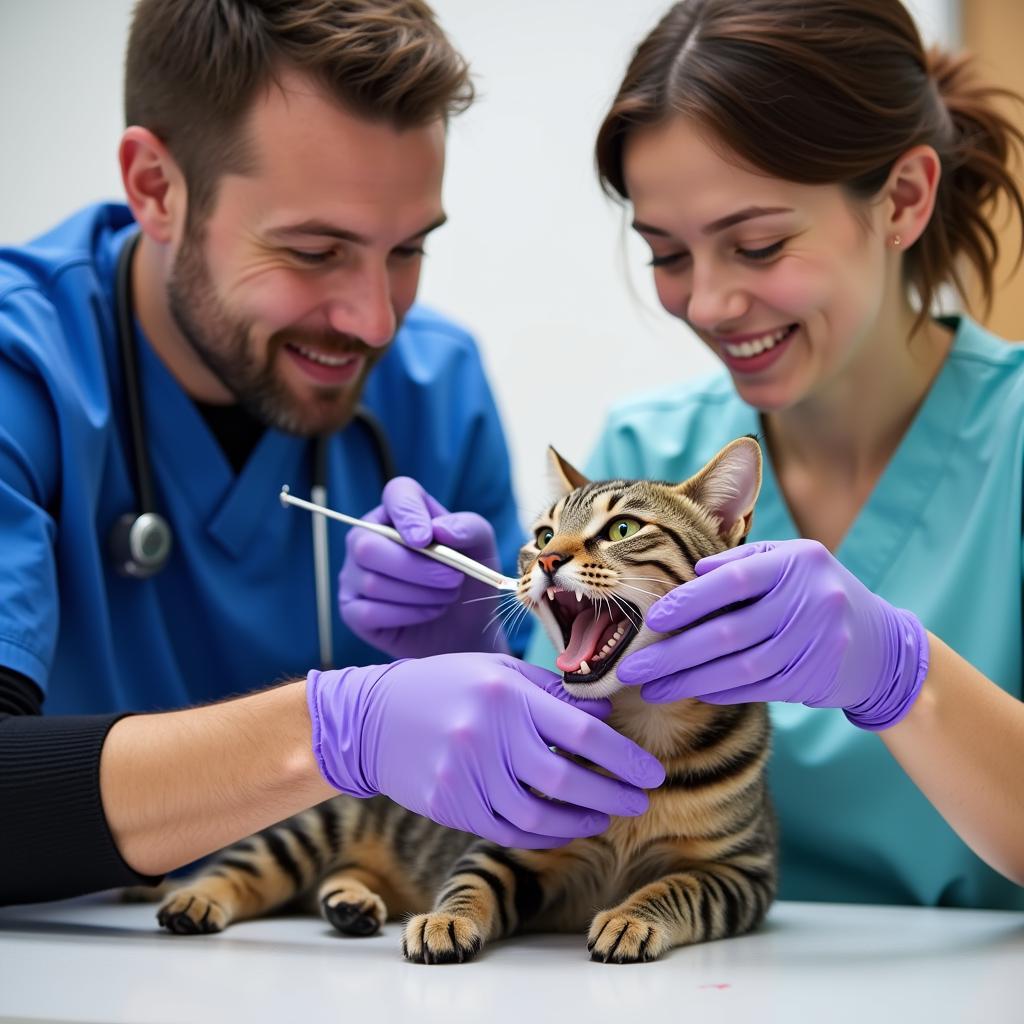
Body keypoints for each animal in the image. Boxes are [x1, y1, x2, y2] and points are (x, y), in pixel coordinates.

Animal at [151, 436, 774, 962]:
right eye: (543, 536)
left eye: (622, 529)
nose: (546, 562)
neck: (643, 726)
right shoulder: (506, 845)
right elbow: (471, 883)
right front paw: (445, 920)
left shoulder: (742, 871)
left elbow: (675, 888)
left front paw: (631, 916)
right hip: (310, 827)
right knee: (244, 865)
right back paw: (197, 898)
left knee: (335, 876)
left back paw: (351, 901)